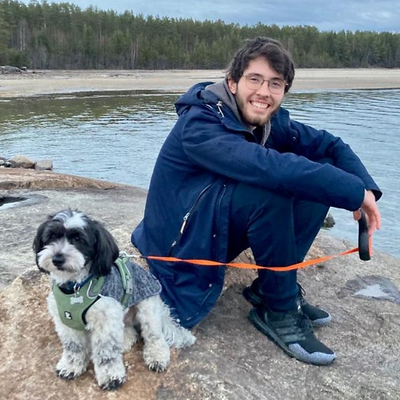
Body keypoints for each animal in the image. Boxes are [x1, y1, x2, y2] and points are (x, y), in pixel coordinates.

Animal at [33, 209, 195, 390]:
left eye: (79, 239)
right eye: (51, 236)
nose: (57, 259)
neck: (76, 286)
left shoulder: (106, 321)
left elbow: (106, 353)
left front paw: (111, 377)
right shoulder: (66, 321)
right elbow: (73, 347)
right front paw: (71, 366)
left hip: (147, 309)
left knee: (154, 336)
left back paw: (157, 356)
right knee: (130, 331)